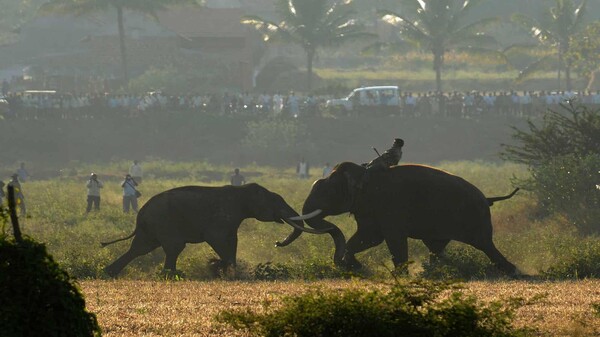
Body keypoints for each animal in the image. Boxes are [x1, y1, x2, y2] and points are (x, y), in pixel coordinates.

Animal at [102, 182, 328, 276]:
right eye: (276, 202)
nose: (277, 242)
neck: (242, 190)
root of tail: (140, 214)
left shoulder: (232, 220)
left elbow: (232, 240)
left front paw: (230, 271)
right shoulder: (221, 217)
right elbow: (216, 239)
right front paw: (220, 266)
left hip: (152, 227)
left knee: (140, 248)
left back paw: (110, 273)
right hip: (163, 222)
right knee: (173, 247)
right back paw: (172, 274)